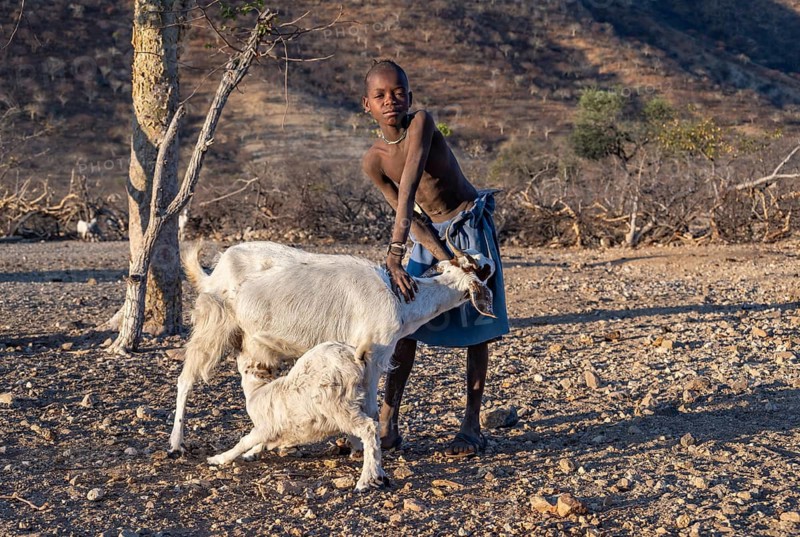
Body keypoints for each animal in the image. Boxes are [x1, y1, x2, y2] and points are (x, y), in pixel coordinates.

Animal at [169, 232, 495, 455]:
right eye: (482, 267)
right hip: (214, 326)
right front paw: (358, 447)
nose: (491, 262)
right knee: (185, 379)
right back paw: (176, 444)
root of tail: (217, 268)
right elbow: (370, 405)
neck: (400, 299)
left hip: (253, 344)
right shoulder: (372, 355)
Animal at [207, 341, 388, 491]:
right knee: (375, 426)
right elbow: (262, 443)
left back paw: (364, 481)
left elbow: (244, 441)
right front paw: (251, 454)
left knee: (369, 428)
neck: (258, 390)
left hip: (338, 404)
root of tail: (356, 357)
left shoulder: (265, 427)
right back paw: (379, 473)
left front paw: (218, 459)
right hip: (367, 396)